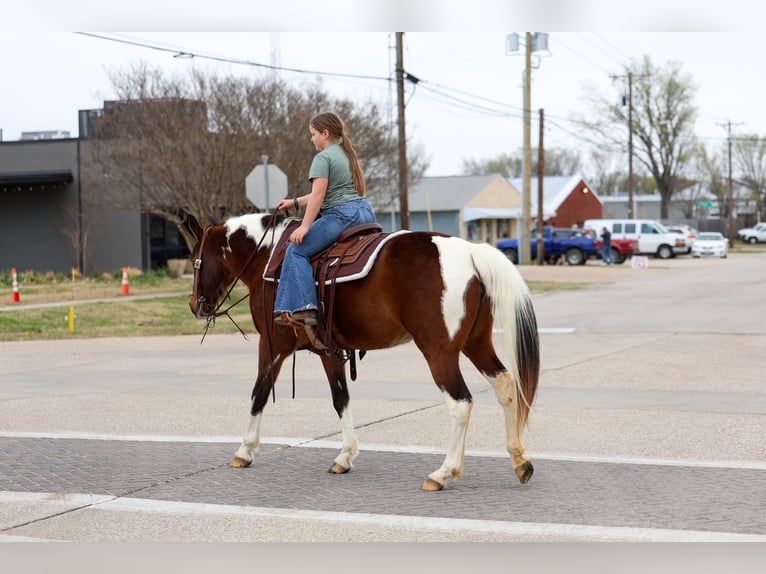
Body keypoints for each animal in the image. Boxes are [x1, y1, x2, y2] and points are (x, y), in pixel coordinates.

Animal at [187, 212, 540, 491]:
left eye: (195, 260)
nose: (193, 305)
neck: (269, 257)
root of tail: (468, 251)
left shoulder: (273, 345)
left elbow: (259, 392)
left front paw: (245, 451)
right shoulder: (329, 351)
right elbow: (340, 398)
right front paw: (345, 456)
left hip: (439, 352)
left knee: (460, 403)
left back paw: (443, 472)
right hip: (475, 343)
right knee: (505, 386)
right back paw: (519, 460)